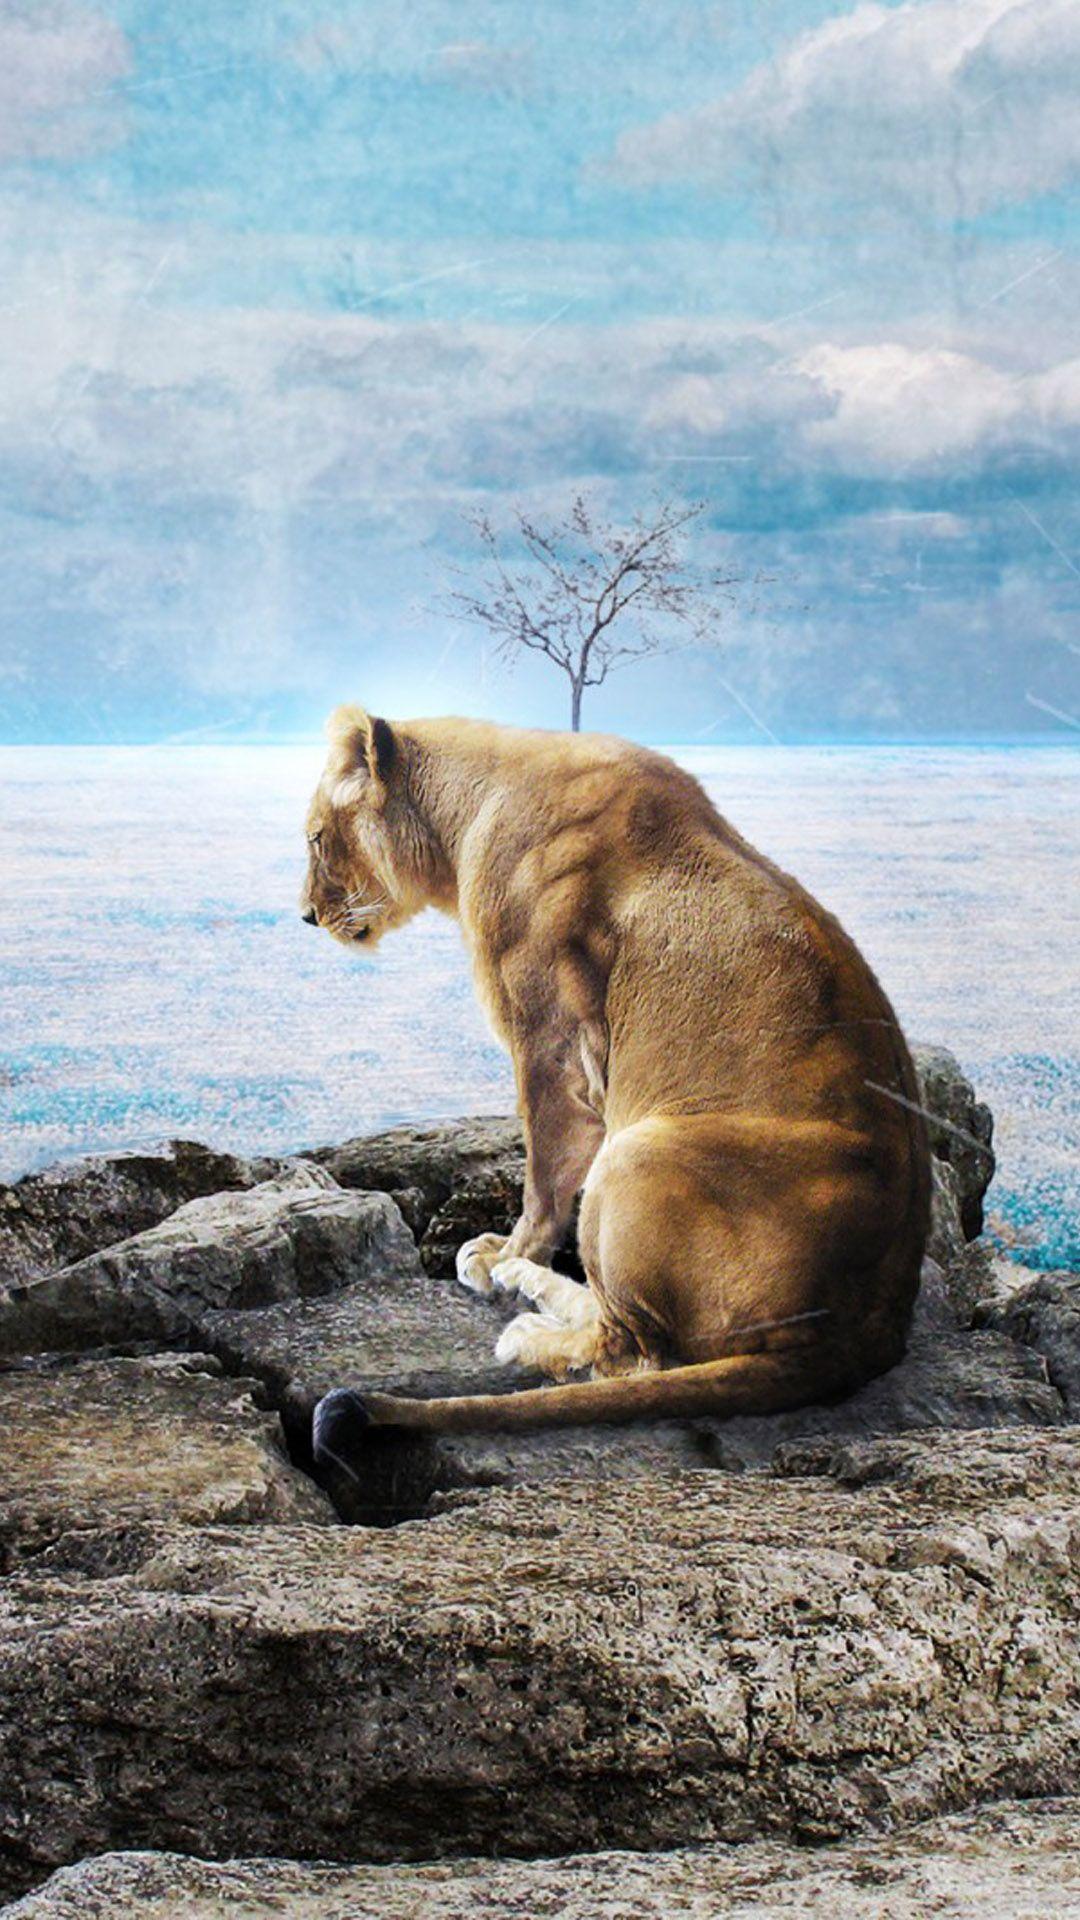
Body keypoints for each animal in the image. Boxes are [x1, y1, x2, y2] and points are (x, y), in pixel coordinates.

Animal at [304, 706, 930, 1455]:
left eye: (316, 839)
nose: (306, 915)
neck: (467, 810)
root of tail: (862, 1332)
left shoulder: (548, 1039)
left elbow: (545, 1172)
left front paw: (509, 1250)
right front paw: (510, 1255)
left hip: (638, 1150)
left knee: (629, 1350)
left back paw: (525, 1313)